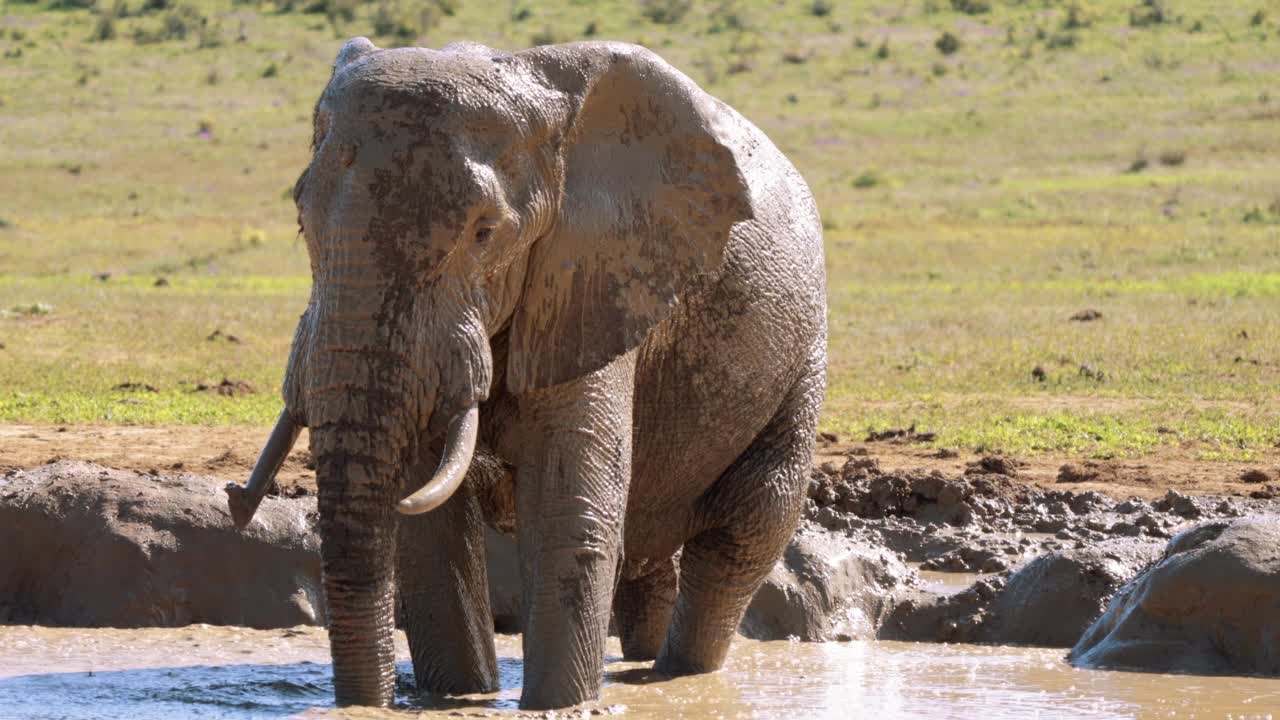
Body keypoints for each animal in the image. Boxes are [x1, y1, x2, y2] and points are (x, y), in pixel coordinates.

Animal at [224, 37, 824, 707]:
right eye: (302, 220)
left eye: (485, 234)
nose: (235, 499)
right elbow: (432, 533)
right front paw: (454, 701)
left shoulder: (591, 274)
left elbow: (566, 510)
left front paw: (560, 707)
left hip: (799, 356)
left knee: (745, 533)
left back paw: (675, 676)